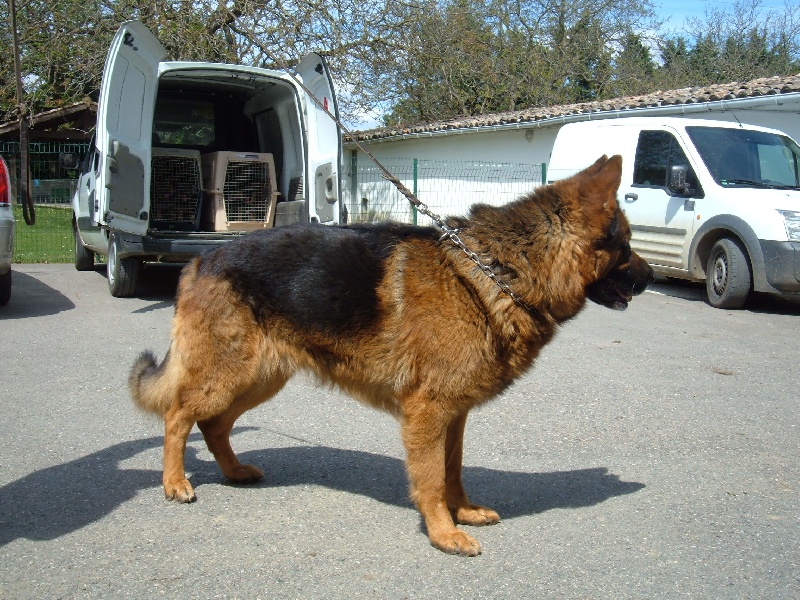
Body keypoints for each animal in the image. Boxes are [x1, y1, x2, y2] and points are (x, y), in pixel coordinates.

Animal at [129, 154, 653, 556]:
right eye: (627, 246)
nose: (651, 279)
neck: (495, 273)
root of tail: (202, 259)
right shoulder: (428, 412)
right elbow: (430, 478)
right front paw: (443, 534)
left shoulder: (454, 414)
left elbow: (452, 470)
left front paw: (463, 512)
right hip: (230, 374)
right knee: (178, 415)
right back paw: (174, 483)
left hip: (259, 377)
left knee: (213, 424)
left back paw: (234, 471)